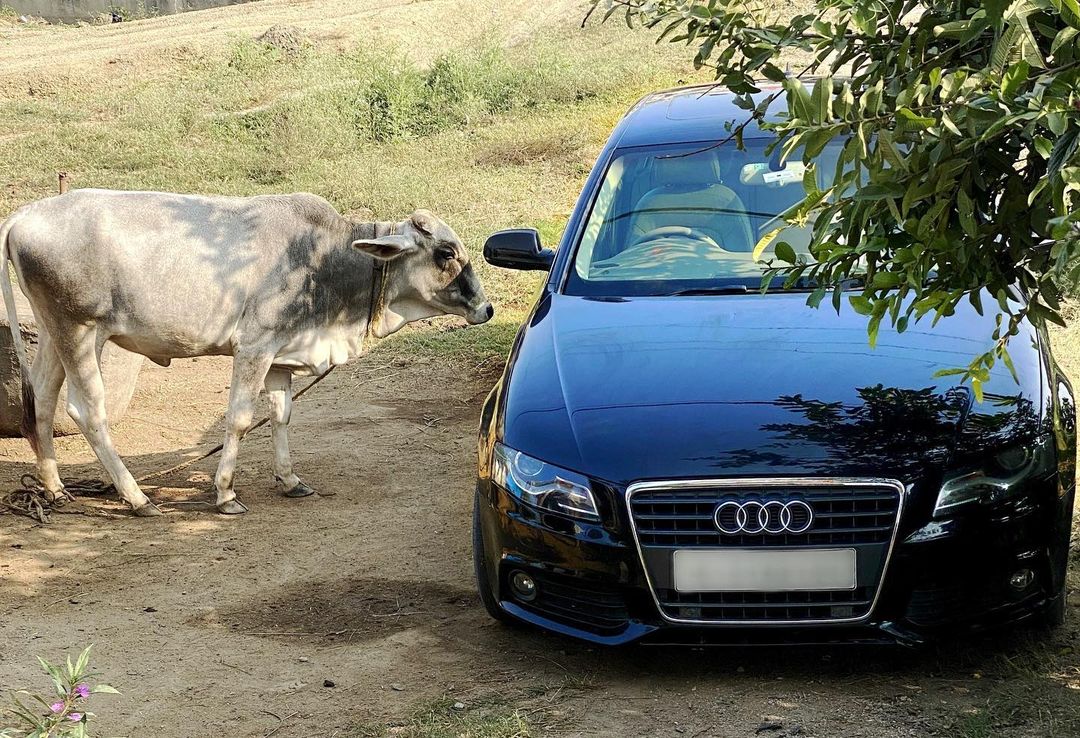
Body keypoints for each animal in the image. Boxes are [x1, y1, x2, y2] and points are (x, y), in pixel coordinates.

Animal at [0, 188, 494, 516]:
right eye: (445, 253)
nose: (486, 308)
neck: (326, 259)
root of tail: (24, 214)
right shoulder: (254, 347)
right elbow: (238, 419)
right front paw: (225, 493)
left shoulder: (281, 355)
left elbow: (280, 415)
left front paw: (290, 480)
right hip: (80, 331)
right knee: (86, 412)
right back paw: (137, 497)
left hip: (53, 333)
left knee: (41, 399)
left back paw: (55, 489)